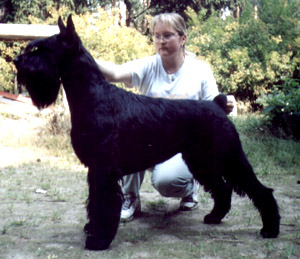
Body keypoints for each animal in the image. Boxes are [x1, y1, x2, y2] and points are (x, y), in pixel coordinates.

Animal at [13, 15, 282, 251]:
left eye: (42, 50)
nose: (17, 60)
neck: (92, 96)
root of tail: (216, 105)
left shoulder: (103, 169)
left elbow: (103, 202)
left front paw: (98, 240)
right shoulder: (96, 169)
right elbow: (94, 201)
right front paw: (92, 229)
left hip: (230, 158)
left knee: (259, 189)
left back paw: (270, 229)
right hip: (202, 161)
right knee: (223, 188)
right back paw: (215, 217)